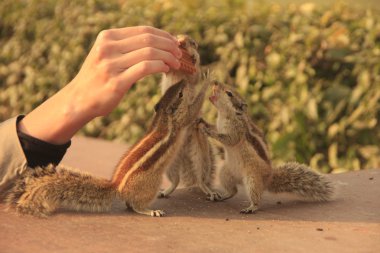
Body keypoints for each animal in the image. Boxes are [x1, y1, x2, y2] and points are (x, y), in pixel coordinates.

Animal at [5, 78, 208, 216]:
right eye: (180, 93)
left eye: (173, 90)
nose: (184, 81)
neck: (163, 117)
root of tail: (117, 186)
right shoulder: (182, 119)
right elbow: (193, 110)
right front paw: (207, 78)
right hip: (151, 184)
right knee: (135, 205)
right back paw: (150, 211)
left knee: (129, 204)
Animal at [157, 34, 218, 200]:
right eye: (176, 36)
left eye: (193, 43)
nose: (181, 41)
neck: (179, 72)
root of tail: (183, 151)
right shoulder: (169, 71)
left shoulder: (192, 76)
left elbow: (195, 77)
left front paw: (195, 56)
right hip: (170, 160)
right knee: (175, 180)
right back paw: (165, 191)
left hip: (200, 153)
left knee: (200, 178)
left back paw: (208, 190)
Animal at [197, 81, 334, 213]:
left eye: (229, 93)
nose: (215, 82)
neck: (225, 114)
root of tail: (269, 177)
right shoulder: (219, 125)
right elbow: (214, 127)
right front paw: (202, 122)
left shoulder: (236, 132)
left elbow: (228, 140)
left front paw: (207, 131)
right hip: (225, 173)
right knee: (233, 191)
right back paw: (221, 196)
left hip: (252, 180)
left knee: (255, 197)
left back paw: (251, 208)